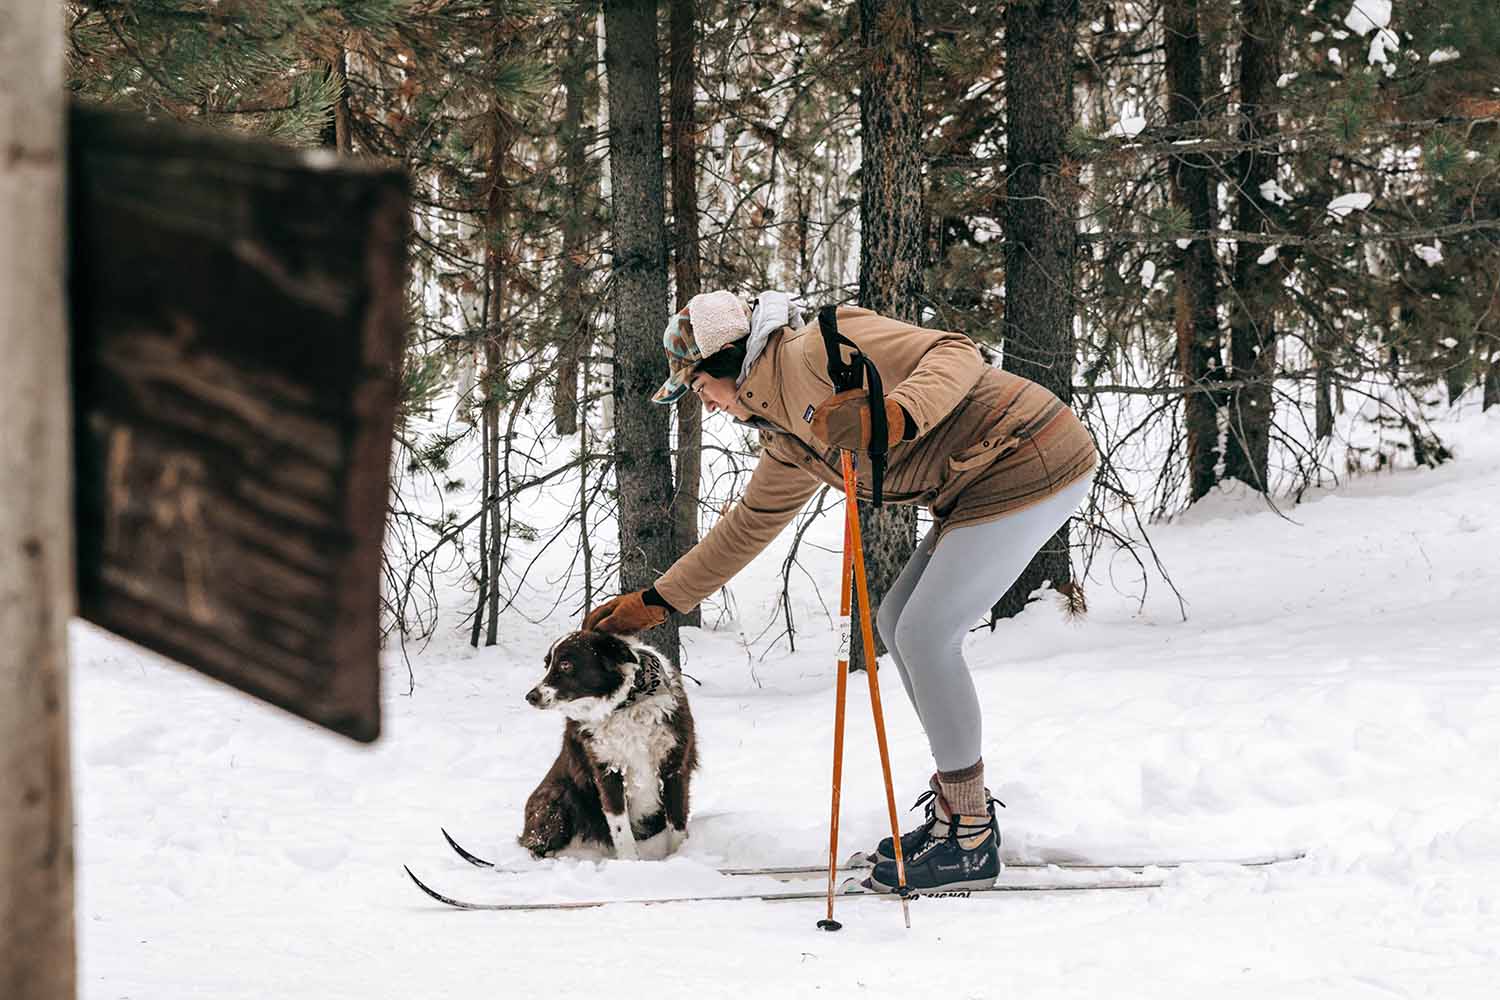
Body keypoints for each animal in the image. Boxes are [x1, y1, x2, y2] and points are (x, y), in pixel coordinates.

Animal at [522, 632, 696, 863]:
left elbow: (677, 822)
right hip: (557, 795)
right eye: (547, 664)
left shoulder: (674, 766)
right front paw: (630, 863)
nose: (531, 696)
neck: (624, 706)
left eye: (566, 664)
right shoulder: (607, 771)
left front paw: (679, 857)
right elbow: (620, 827)